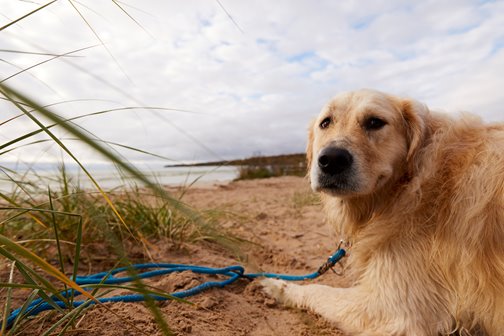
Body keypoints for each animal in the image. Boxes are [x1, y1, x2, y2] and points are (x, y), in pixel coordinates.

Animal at [262, 89, 504, 336]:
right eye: (326, 123)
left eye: (375, 122)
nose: (331, 160)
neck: (412, 184)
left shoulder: (393, 309)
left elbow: (318, 289)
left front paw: (279, 286)